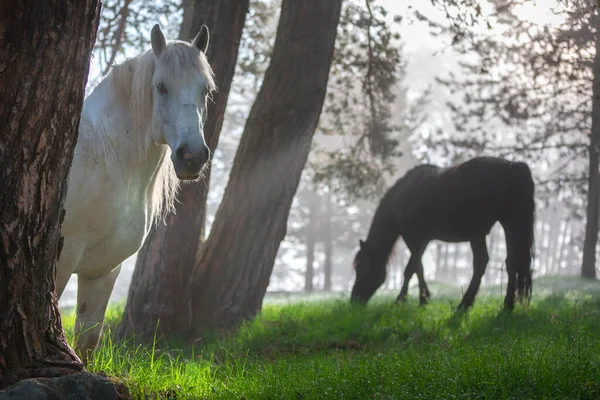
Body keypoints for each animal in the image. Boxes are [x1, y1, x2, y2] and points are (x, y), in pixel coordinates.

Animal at [56, 24, 216, 360]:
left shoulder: (103, 271)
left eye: (205, 91)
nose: (192, 156)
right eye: (162, 87)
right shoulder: (63, 261)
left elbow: (87, 341)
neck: (106, 154)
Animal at [352, 155, 536, 310]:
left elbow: (413, 267)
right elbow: (417, 267)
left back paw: (464, 304)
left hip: (478, 233)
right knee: (511, 263)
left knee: (482, 263)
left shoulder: (413, 237)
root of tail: (511, 166)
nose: (354, 299)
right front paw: (420, 298)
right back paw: (506, 306)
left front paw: (410, 299)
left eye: (360, 268)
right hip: (509, 224)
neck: (399, 199)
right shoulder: (424, 239)